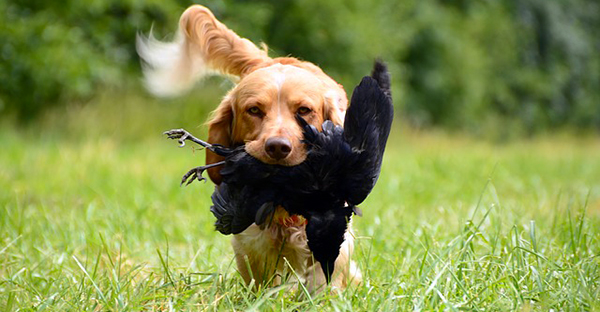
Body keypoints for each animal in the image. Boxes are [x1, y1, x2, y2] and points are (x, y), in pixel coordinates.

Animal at [137, 4, 360, 292]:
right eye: (253, 110)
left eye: (304, 110)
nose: (277, 147)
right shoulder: (251, 242)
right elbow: (262, 279)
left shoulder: (334, 237)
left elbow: (324, 275)